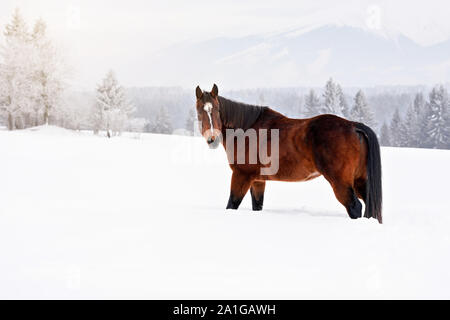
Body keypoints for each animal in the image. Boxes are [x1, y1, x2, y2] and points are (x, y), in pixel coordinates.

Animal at [195, 84, 382, 222]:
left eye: (217, 110)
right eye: (199, 111)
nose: (212, 139)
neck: (247, 130)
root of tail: (354, 126)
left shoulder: (241, 176)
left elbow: (232, 204)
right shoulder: (257, 181)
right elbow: (257, 205)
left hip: (341, 183)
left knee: (355, 207)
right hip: (360, 181)